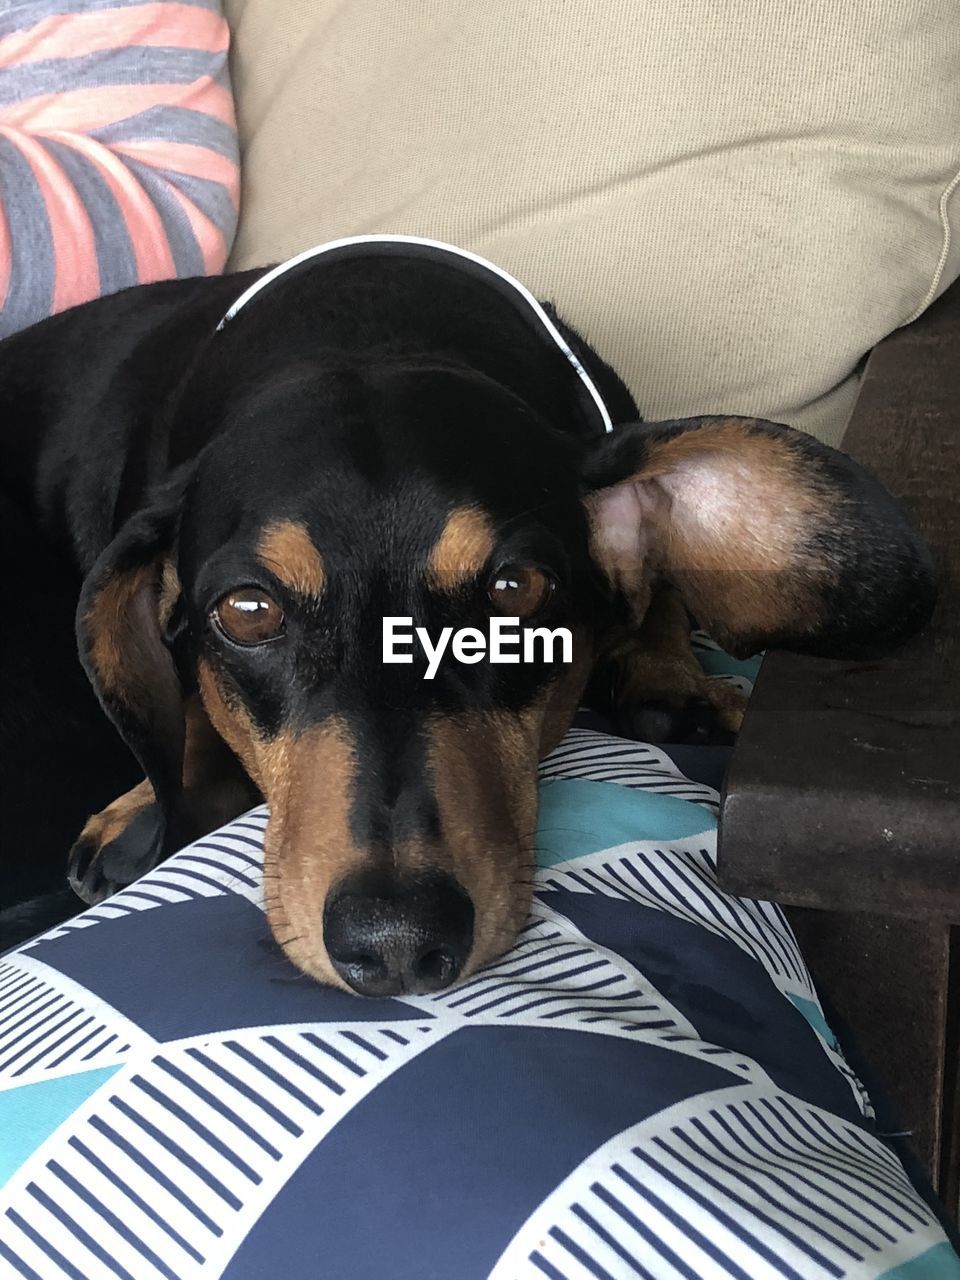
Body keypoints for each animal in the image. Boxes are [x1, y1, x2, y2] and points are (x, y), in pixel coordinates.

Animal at [0, 238, 936, 988]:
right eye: (250, 610)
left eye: (515, 592)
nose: (395, 943)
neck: (372, 323)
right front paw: (144, 805)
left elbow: (656, 585)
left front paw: (670, 674)